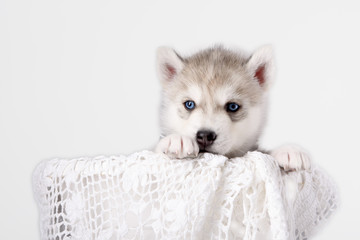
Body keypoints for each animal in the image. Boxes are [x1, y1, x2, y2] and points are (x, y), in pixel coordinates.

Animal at [155, 45, 310, 171]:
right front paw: (177, 139)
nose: (205, 136)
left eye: (232, 106)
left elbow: (262, 153)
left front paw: (288, 151)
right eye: (189, 104)